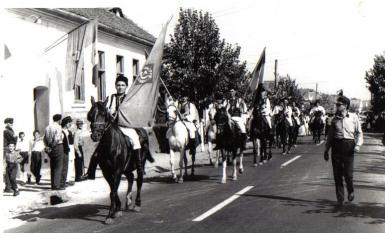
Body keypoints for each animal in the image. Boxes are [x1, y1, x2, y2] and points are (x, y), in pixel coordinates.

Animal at [87, 96, 153, 224]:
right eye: (90, 115)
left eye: (104, 114)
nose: (95, 136)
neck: (110, 145)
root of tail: (142, 130)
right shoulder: (107, 172)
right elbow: (113, 189)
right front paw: (117, 209)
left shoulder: (117, 170)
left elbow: (113, 191)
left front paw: (110, 215)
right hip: (126, 168)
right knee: (131, 177)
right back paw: (128, 200)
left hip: (140, 164)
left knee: (139, 180)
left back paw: (137, 204)